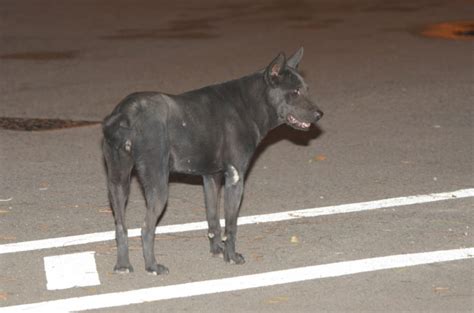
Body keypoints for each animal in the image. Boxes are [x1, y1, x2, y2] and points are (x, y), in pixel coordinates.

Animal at [100, 47, 322, 274]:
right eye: (295, 92)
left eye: (306, 89)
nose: (319, 114)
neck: (250, 104)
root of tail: (124, 114)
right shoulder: (235, 179)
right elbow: (231, 225)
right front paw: (231, 256)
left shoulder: (211, 178)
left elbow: (213, 218)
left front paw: (216, 250)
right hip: (158, 185)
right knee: (146, 228)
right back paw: (152, 266)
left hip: (118, 182)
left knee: (121, 226)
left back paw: (123, 265)